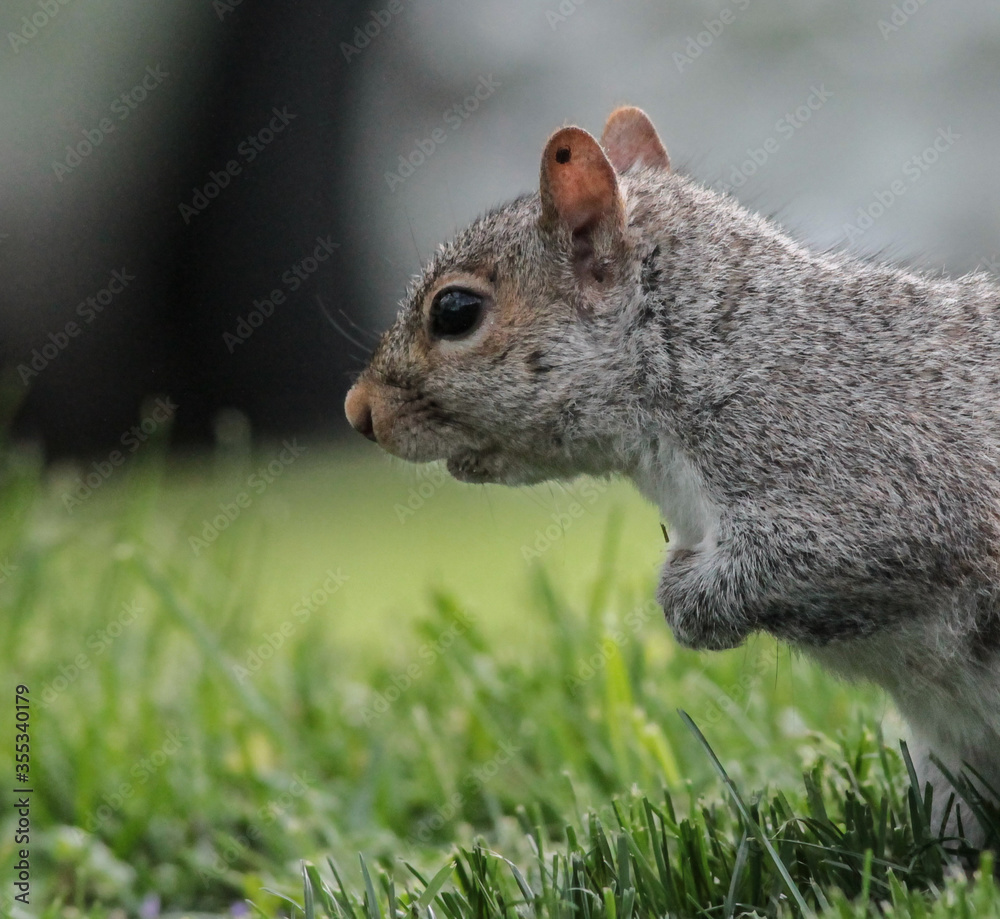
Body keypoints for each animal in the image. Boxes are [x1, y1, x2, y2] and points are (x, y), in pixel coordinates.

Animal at [345, 106, 1000, 841]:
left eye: (455, 311)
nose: (358, 412)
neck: (707, 346)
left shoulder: (866, 466)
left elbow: (834, 549)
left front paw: (688, 602)